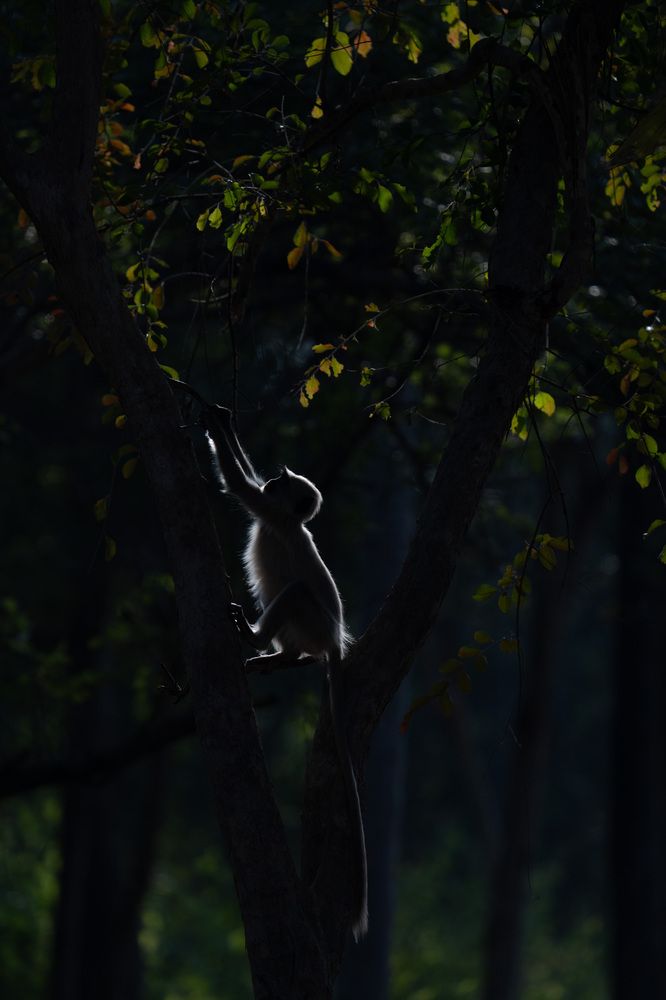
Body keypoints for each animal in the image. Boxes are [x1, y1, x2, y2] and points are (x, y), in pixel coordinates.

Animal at [201, 404, 368, 941]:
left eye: (282, 483)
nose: (276, 476)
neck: (290, 522)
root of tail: (334, 641)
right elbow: (242, 478)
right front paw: (226, 421)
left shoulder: (269, 512)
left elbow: (238, 485)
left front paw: (210, 419)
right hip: (308, 634)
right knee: (296, 644)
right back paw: (279, 659)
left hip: (311, 619)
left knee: (293, 593)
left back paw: (256, 640)